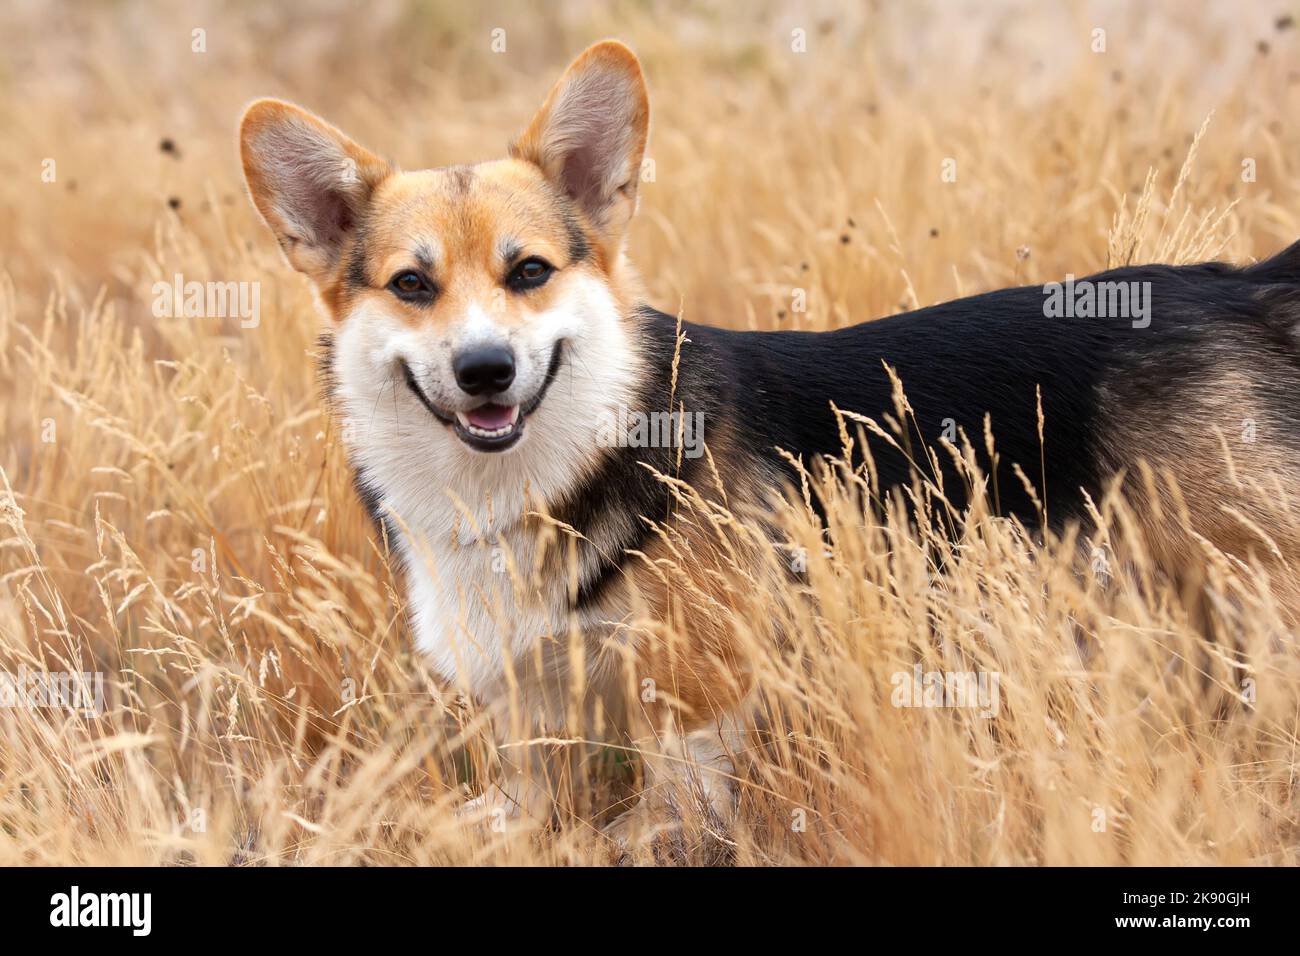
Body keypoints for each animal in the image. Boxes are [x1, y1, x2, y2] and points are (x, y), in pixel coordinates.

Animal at [239, 37, 1300, 832]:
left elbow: (674, 815)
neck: (548, 472)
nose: (485, 369)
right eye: (411, 285)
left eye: (529, 272)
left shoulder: (697, 695)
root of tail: (1240, 286)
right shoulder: (535, 725)